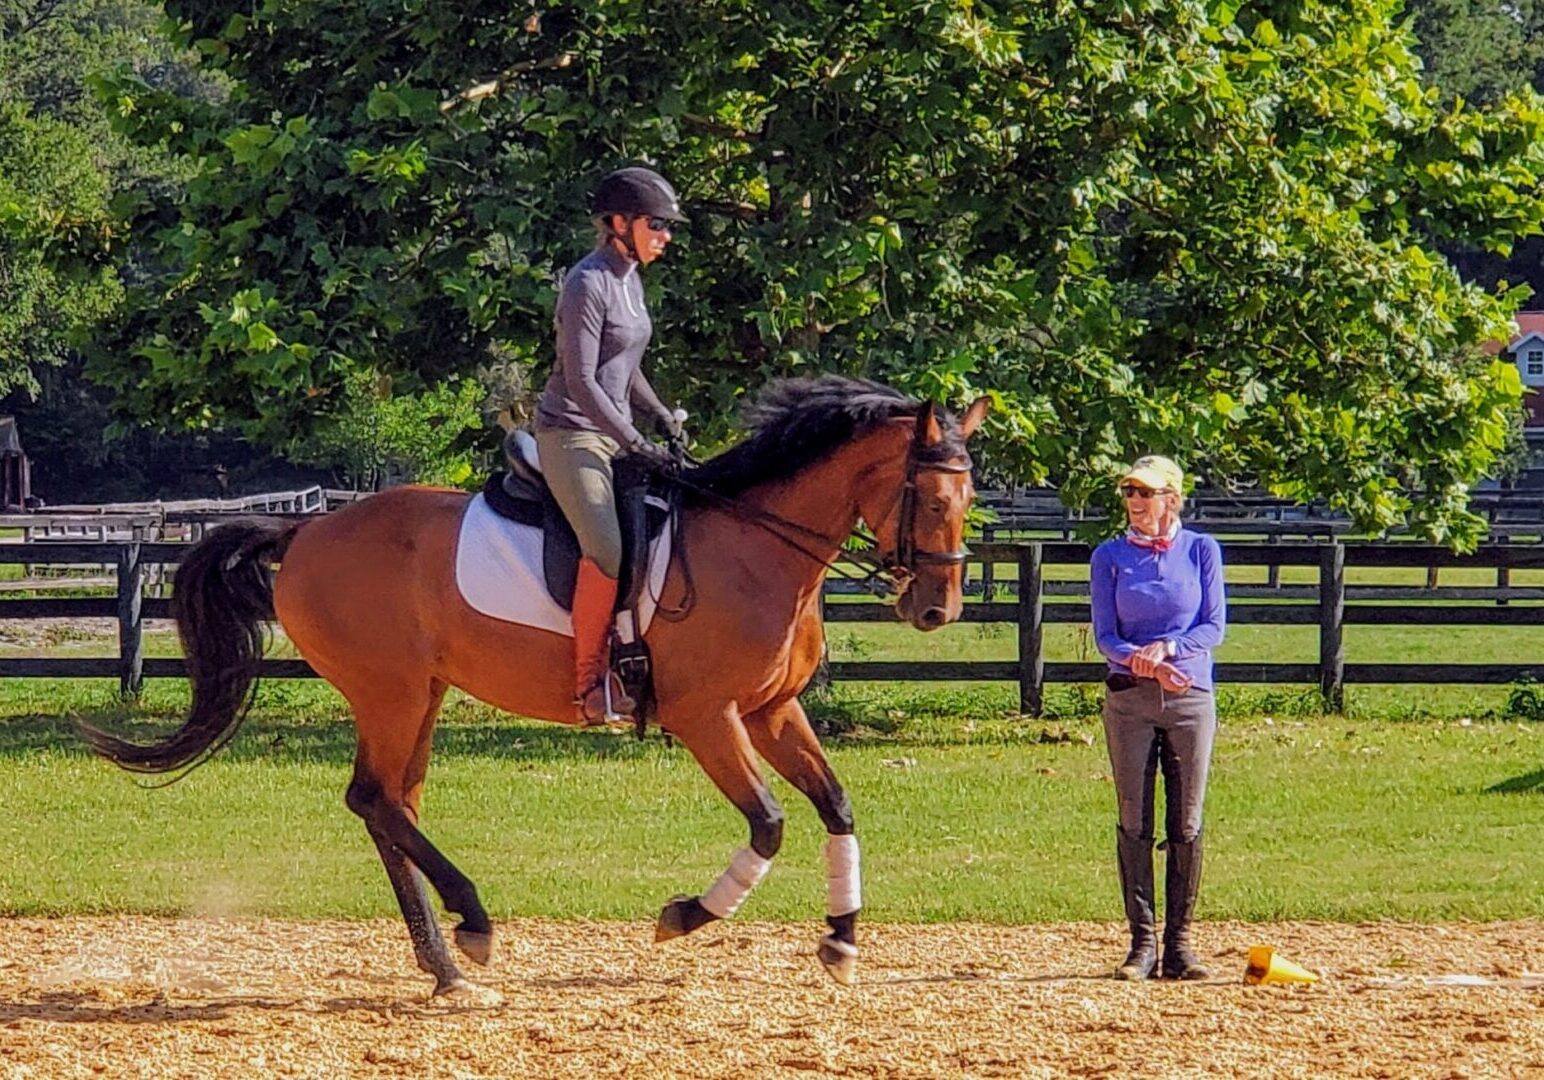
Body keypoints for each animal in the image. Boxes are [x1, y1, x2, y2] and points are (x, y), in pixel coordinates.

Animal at [81, 378, 988, 995]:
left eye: (972, 495)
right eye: (930, 496)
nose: (937, 609)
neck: (755, 547)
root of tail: (306, 529)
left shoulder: (771, 710)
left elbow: (835, 805)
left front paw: (840, 941)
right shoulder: (708, 717)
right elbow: (768, 823)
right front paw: (686, 916)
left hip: (420, 696)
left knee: (392, 805)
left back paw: (445, 964)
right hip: (390, 691)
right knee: (374, 800)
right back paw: (472, 928)